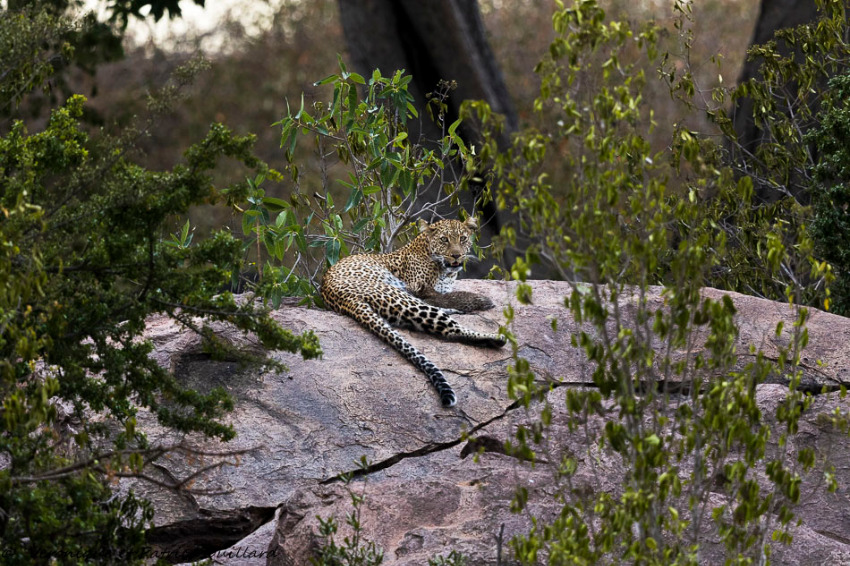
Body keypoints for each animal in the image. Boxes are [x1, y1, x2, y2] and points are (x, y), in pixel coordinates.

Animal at [318, 217, 504, 408]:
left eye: (463, 239)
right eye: (444, 240)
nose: (456, 255)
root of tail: (343, 297)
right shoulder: (419, 289)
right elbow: (452, 296)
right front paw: (482, 300)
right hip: (402, 297)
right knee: (450, 329)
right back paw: (496, 338)